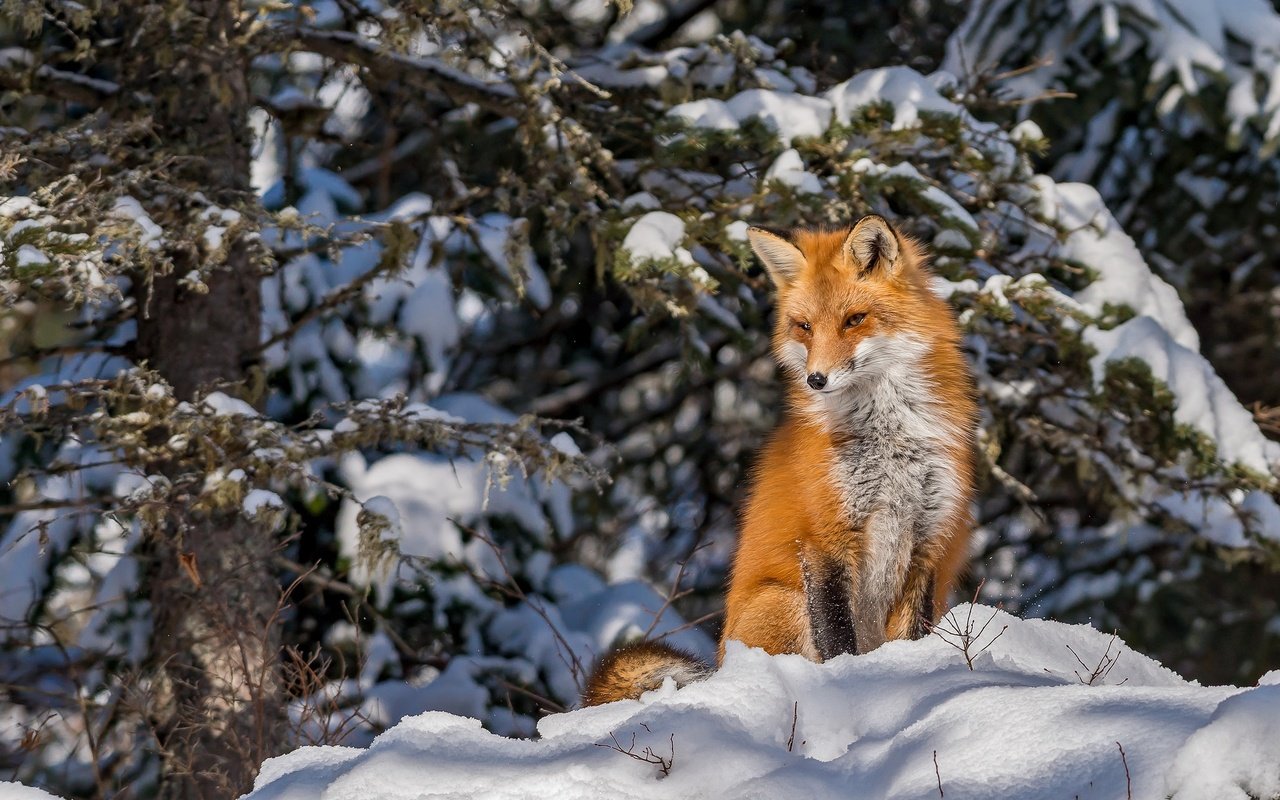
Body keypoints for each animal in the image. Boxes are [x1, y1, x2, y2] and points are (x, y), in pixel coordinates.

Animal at [583, 213, 977, 706]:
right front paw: (851, 686)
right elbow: (837, 638)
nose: (816, 379)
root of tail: (721, 663)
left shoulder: (928, 540)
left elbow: (914, 636)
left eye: (855, 320)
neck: (888, 440)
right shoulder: (824, 537)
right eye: (804, 326)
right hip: (783, 600)